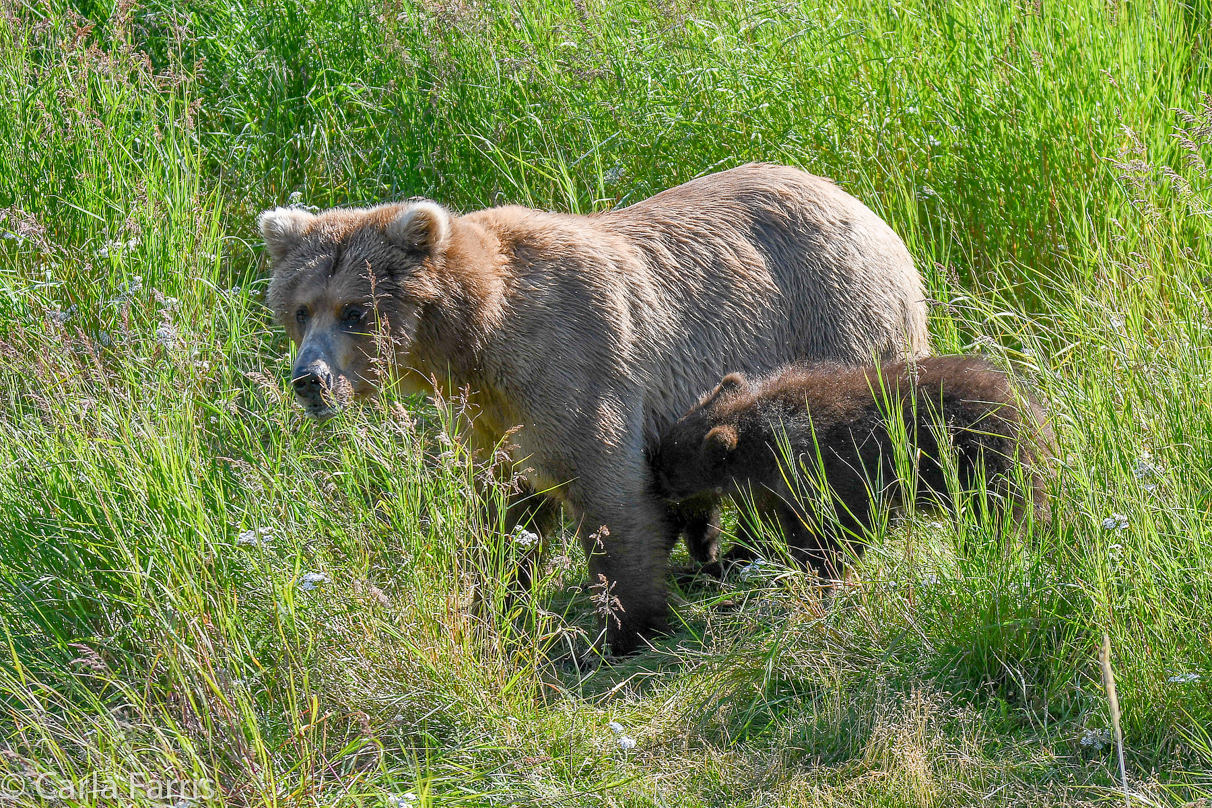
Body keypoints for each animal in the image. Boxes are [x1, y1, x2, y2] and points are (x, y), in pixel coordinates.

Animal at [258, 164, 925, 658]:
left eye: (354, 311)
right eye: (300, 308)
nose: (309, 380)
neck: (478, 338)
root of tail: (875, 218)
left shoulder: (574, 363)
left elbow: (609, 494)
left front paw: (626, 627)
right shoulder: (489, 415)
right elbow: (506, 510)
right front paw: (497, 603)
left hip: (833, 325)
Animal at [654, 356, 1052, 579]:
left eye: (668, 471)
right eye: (660, 458)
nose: (655, 486)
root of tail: (1032, 410)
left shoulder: (835, 467)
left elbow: (845, 525)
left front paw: (820, 570)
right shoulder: (781, 490)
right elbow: (779, 527)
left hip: (980, 457)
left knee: (993, 516)